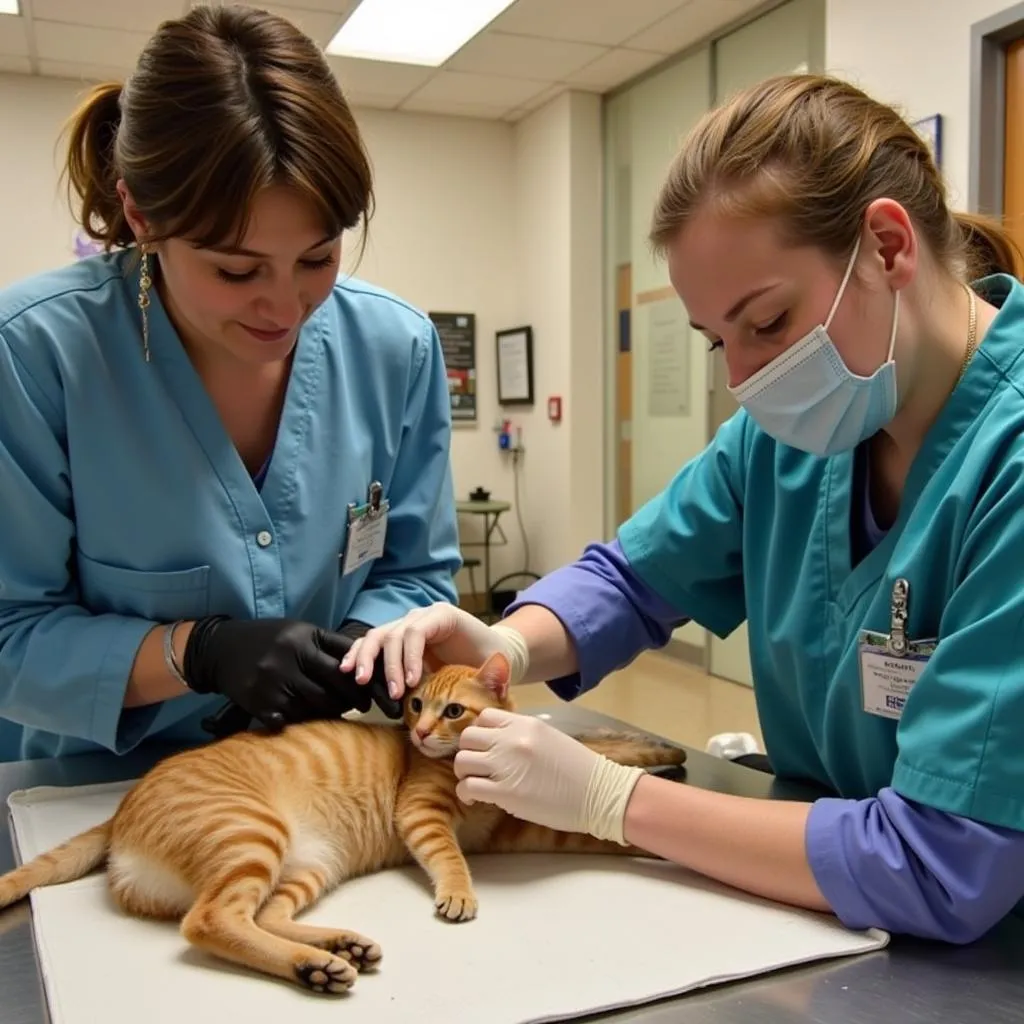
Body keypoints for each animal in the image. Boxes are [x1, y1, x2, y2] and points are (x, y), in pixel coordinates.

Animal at [2, 651, 688, 995]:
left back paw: (331, 952)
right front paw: (459, 894)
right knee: (211, 921)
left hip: (307, 866)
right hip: (252, 837)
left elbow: (594, 813)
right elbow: (450, 857)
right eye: (415, 703)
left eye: (453, 711)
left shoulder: (523, 827)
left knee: (266, 916)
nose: (420, 731)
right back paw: (317, 965)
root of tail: (118, 814)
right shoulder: (422, 816)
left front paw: (655, 819)